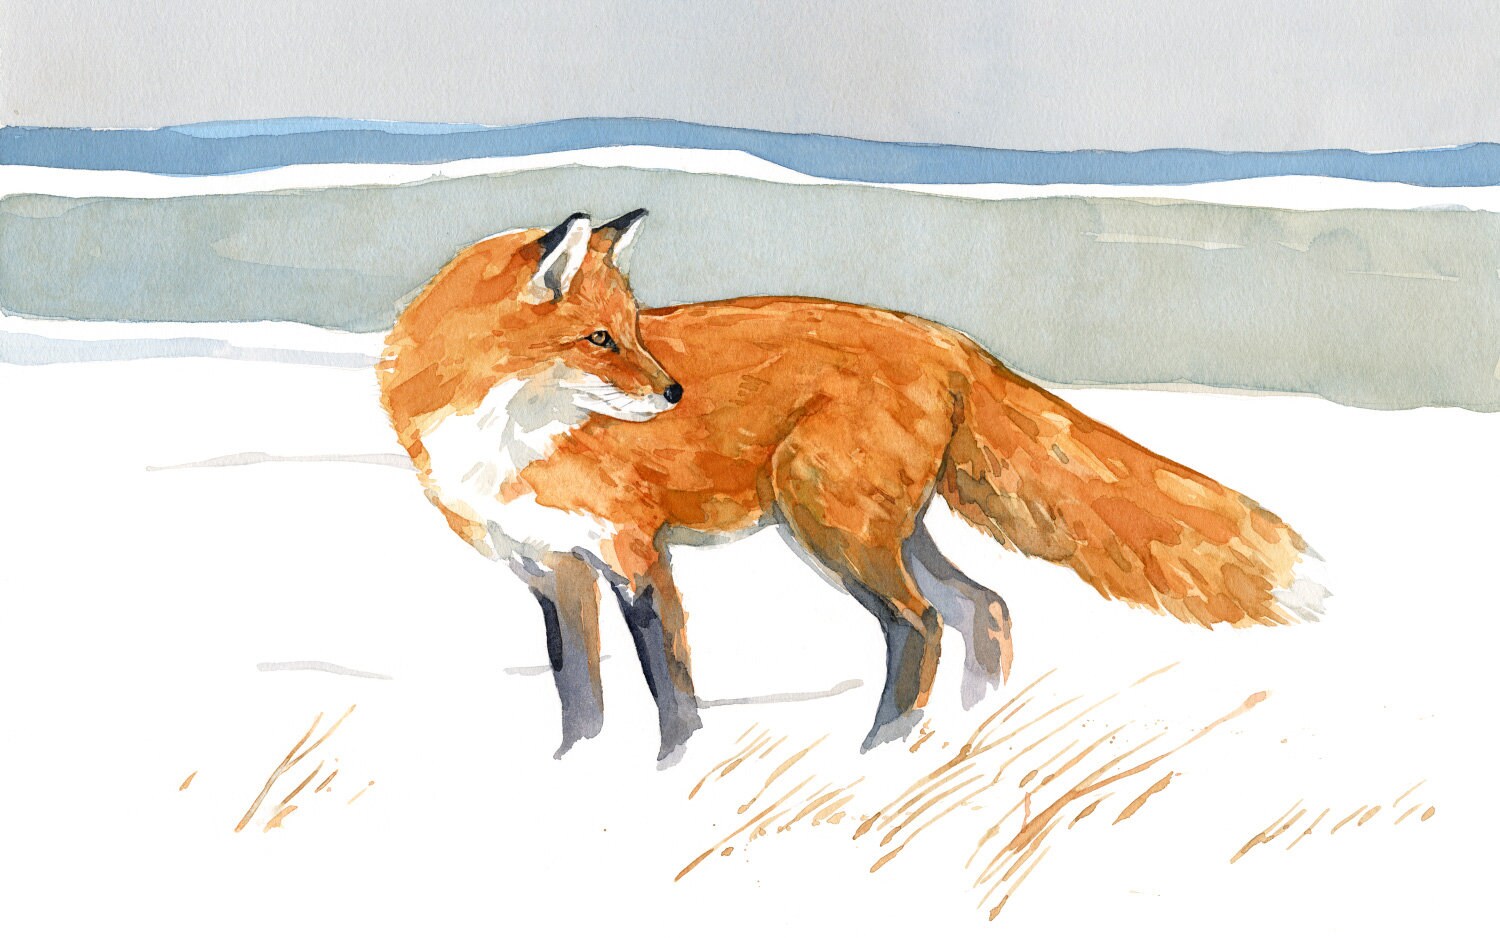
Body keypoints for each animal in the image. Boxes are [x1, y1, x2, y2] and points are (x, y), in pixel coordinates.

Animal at [378, 209, 1326, 763]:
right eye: (601, 338)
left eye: (635, 330)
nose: (675, 393)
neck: (507, 436)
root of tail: (949, 338)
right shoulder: (552, 571)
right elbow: (579, 694)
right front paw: (574, 777)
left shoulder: (635, 555)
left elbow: (671, 691)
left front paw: (674, 775)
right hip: (881, 529)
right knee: (985, 606)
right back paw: (969, 731)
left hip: (831, 527)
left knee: (921, 624)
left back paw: (880, 752)